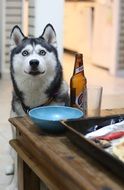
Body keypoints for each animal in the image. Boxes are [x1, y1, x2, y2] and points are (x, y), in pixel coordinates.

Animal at [6, 23, 69, 190]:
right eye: (25, 53)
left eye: (42, 52)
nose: (34, 62)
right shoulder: (17, 133)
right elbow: (17, 158)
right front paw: (13, 185)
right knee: (11, 154)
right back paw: (9, 167)